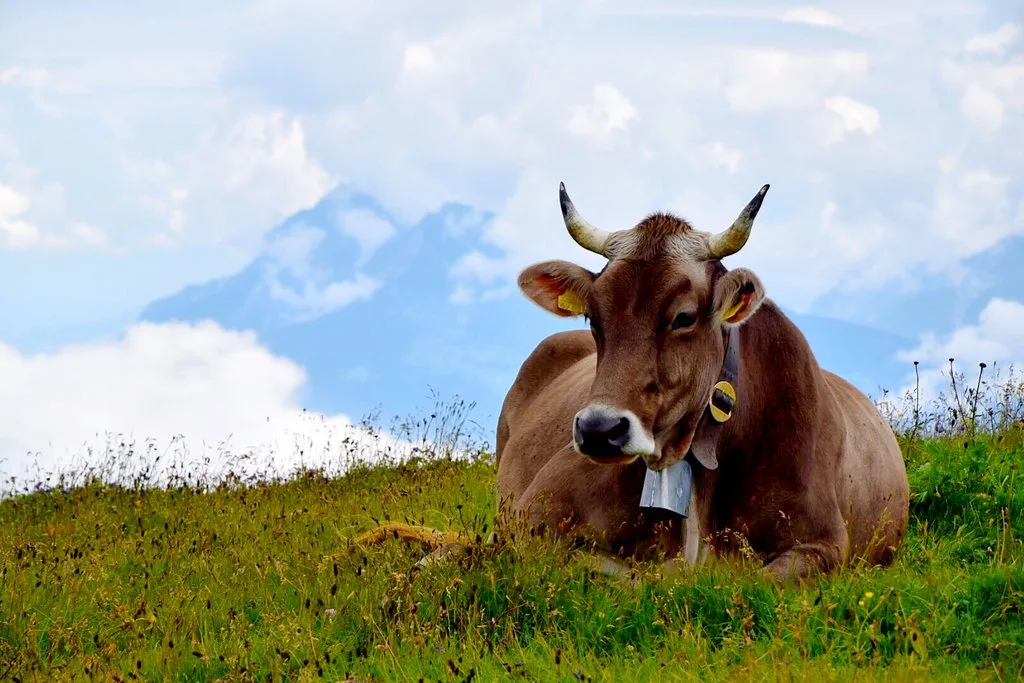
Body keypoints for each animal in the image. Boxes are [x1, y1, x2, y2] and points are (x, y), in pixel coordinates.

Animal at [493, 182, 910, 582]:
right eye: (594, 318)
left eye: (685, 317)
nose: (599, 429)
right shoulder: (531, 518)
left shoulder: (825, 543)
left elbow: (752, 581)